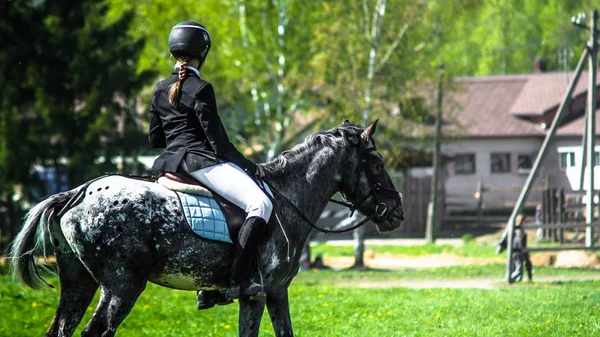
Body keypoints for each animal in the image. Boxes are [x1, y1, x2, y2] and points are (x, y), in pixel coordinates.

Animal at [9, 120, 404, 336]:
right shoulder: (257, 293)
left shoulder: (275, 292)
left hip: (79, 282)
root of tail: (76, 193)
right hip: (123, 285)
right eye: (377, 162)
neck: (288, 197)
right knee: (98, 330)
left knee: (61, 328)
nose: (397, 213)